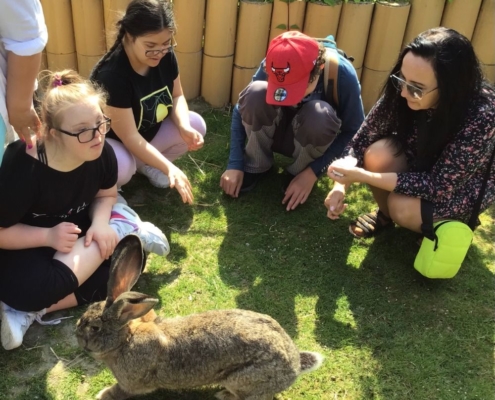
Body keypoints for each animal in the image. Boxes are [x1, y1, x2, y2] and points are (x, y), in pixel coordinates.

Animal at [76, 234, 326, 400]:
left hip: (242, 379)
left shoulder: (131, 383)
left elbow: (119, 391)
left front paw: (101, 395)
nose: (78, 334)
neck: (125, 339)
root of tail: (294, 368)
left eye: (95, 327)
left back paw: (224, 395)